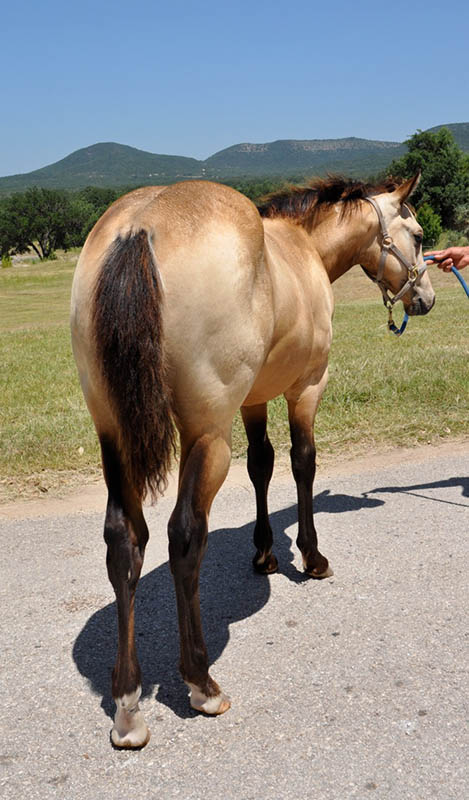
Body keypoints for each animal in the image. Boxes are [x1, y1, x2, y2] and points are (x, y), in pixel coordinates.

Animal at [70, 172, 436, 748]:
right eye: (418, 235)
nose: (425, 297)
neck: (301, 247)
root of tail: (138, 228)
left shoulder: (254, 400)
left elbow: (261, 466)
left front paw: (265, 552)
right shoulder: (307, 387)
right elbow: (303, 463)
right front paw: (311, 557)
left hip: (115, 436)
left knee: (124, 541)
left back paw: (127, 704)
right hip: (207, 436)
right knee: (183, 539)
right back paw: (201, 682)